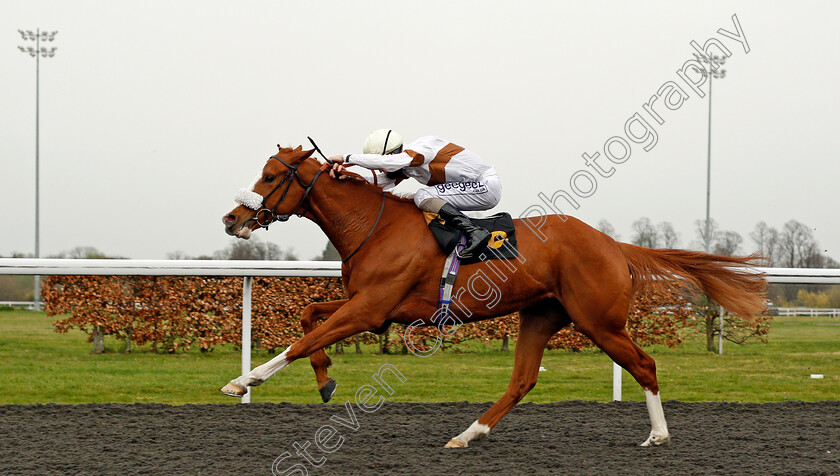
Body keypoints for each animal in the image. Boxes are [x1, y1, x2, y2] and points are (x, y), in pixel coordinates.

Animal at [218, 144, 768, 446]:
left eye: (270, 176)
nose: (231, 218)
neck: (374, 226)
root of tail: (612, 244)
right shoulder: (369, 307)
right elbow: (309, 317)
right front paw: (326, 380)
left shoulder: (371, 309)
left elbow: (301, 341)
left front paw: (243, 381)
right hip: (542, 316)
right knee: (523, 380)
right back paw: (467, 435)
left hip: (600, 321)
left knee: (644, 365)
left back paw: (658, 435)